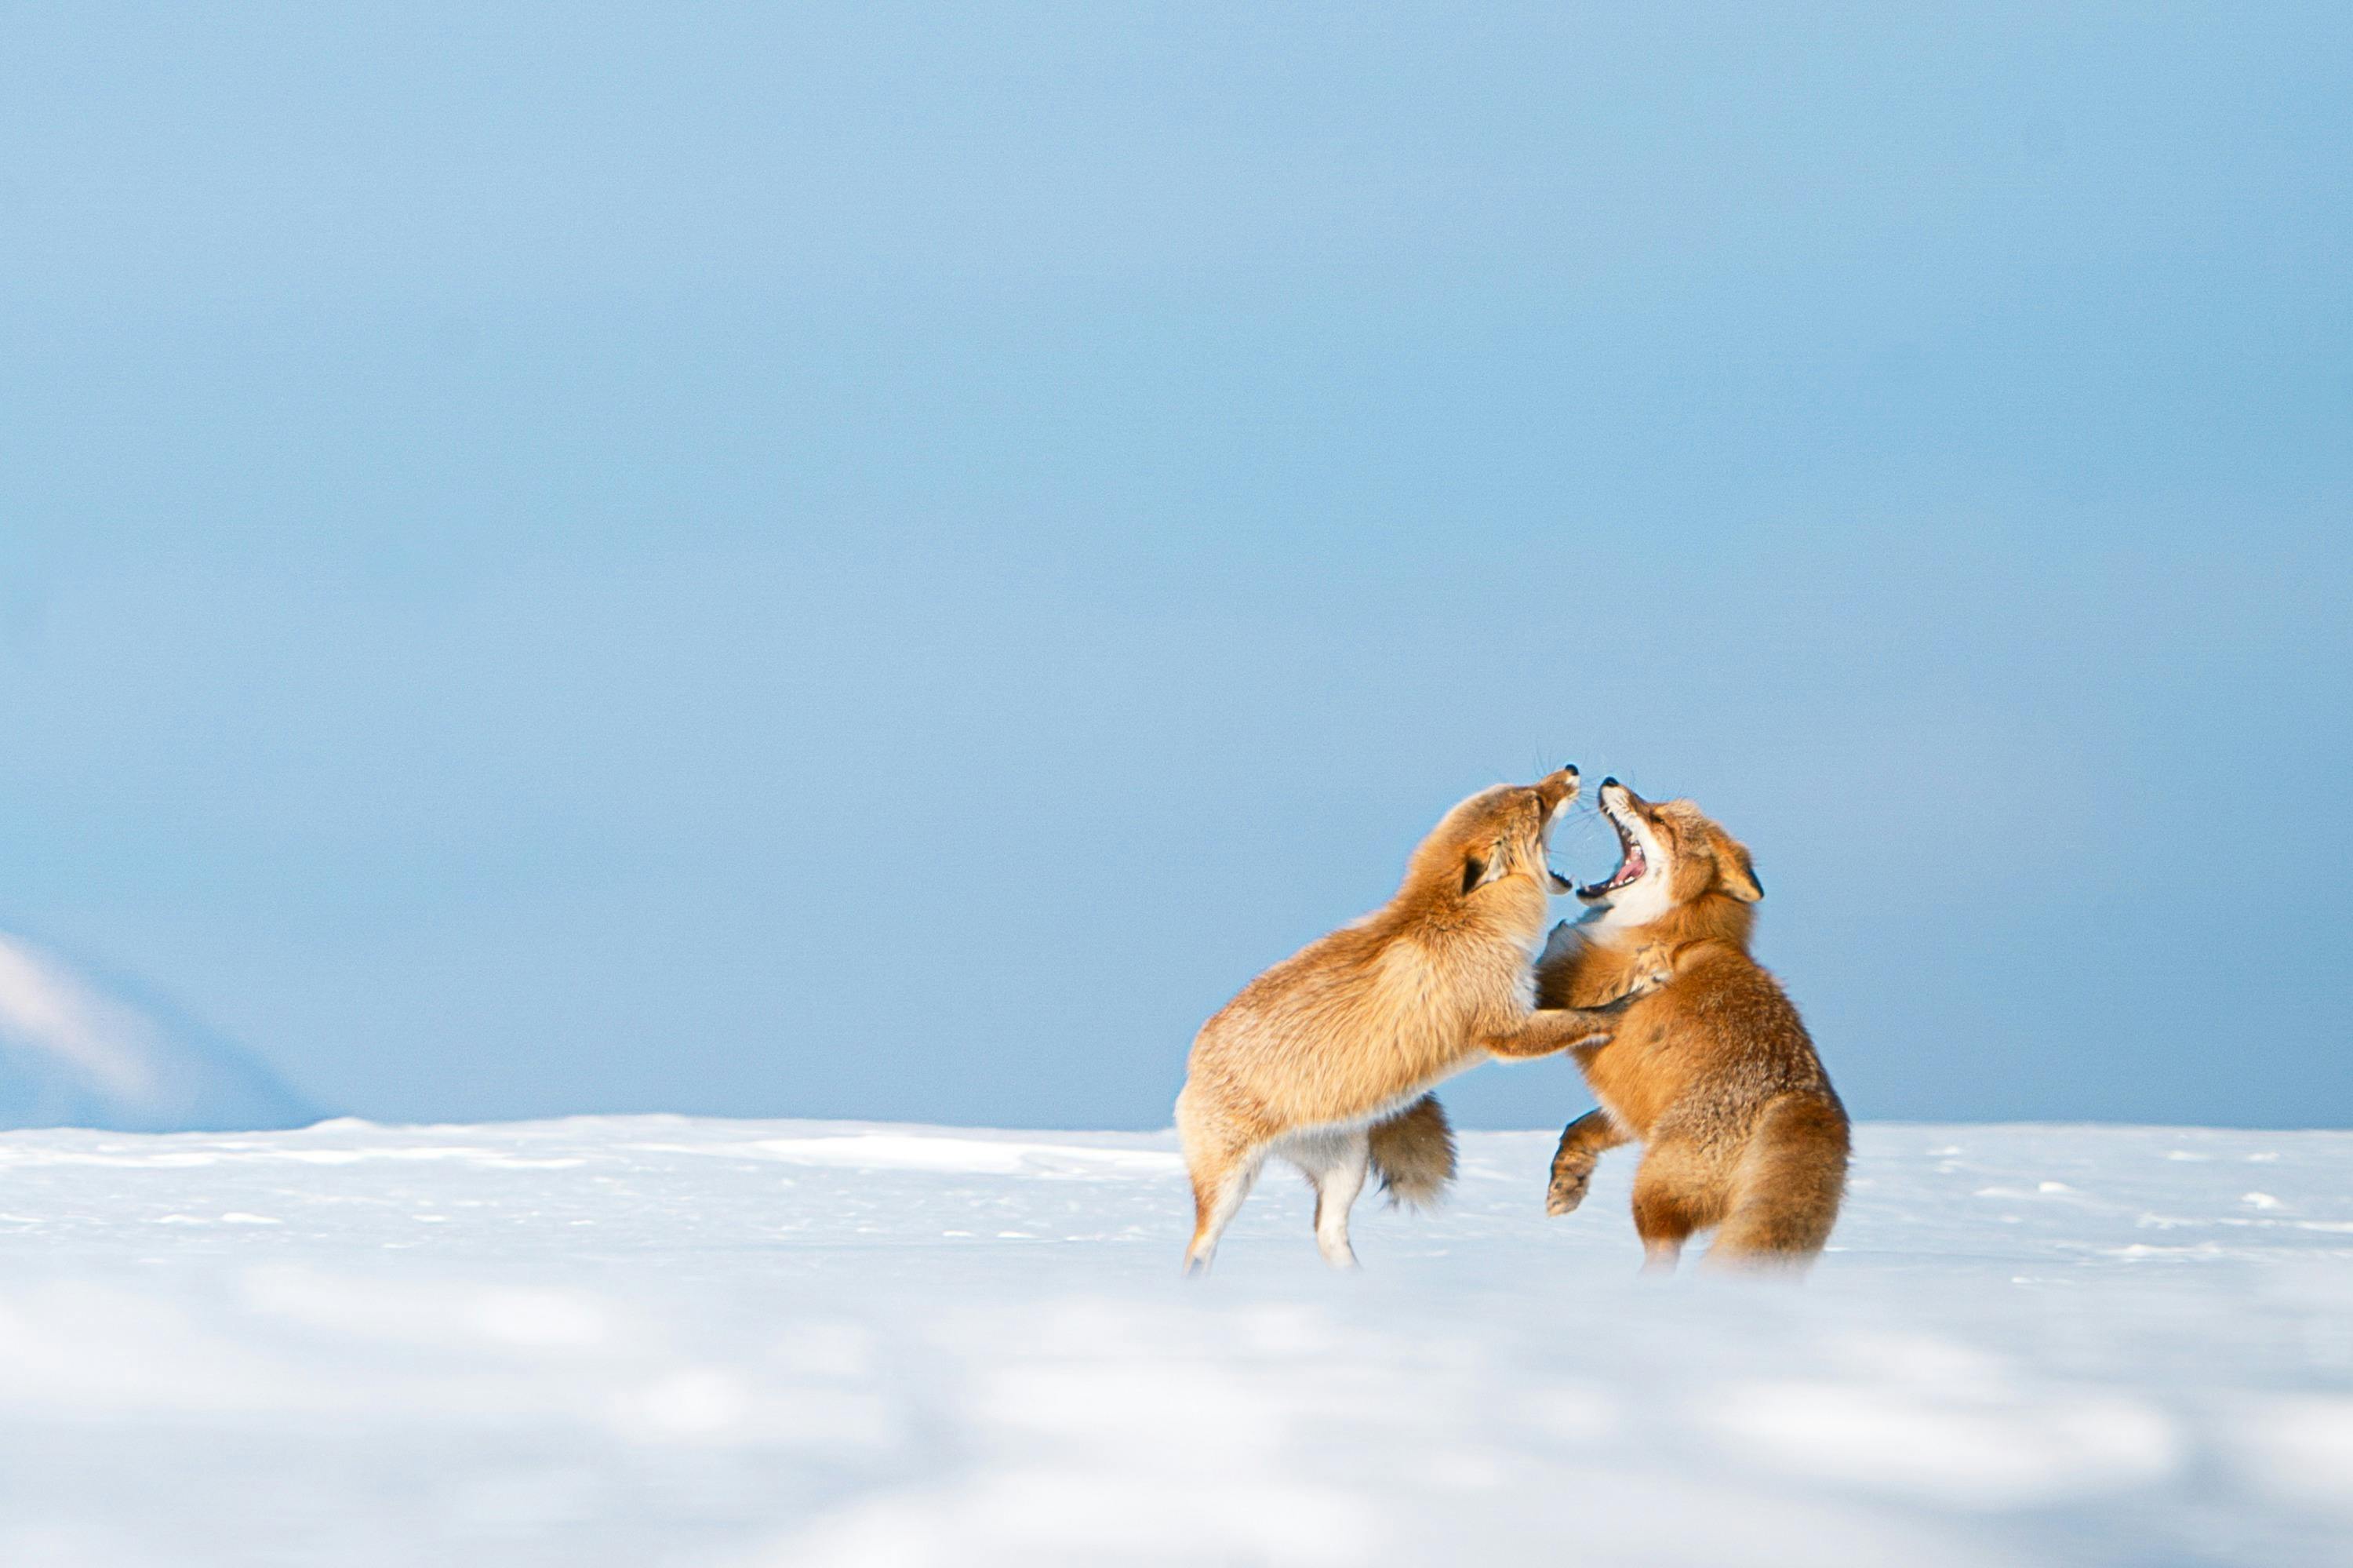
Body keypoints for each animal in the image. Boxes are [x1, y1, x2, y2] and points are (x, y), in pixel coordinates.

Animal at [1172, 767, 1647, 1271]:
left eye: (1531, 788)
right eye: (1537, 802)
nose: (1572, 769)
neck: (1465, 923)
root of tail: (1195, 1057)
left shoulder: (1522, 998)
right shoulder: (1505, 1030)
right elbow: (1583, 1018)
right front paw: (1626, 1003)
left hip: (1347, 1170)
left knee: (1328, 1232)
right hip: (1230, 1186)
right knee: (1200, 1247)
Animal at [1534, 777, 1845, 1261]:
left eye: (1658, 819)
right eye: (1655, 805)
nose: (1610, 780)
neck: (1667, 925)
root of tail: (1809, 1105)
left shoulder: (1559, 990)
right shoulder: (1634, 1110)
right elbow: (1578, 1129)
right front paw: (1568, 1180)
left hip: (1653, 1189)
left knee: (1664, 1253)